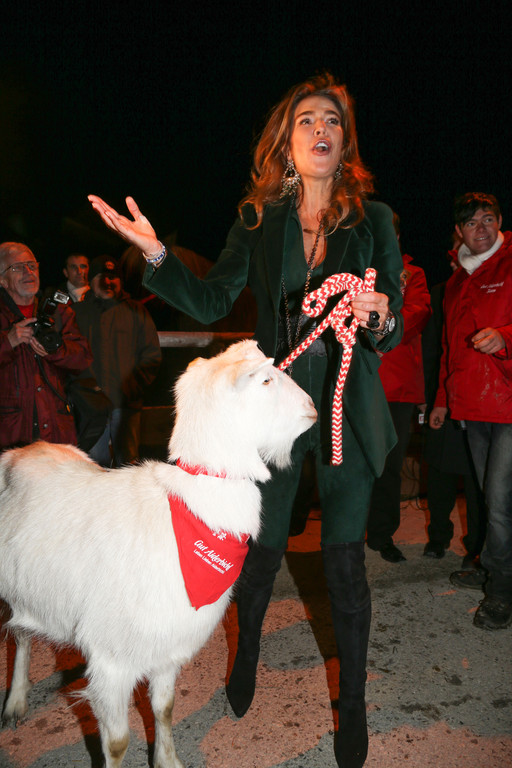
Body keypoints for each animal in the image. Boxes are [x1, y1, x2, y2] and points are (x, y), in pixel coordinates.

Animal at [0, 339, 317, 768]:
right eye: (266, 379)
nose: (313, 406)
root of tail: (22, 450)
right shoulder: (112, 660)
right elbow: (117, 743)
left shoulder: (167, 647)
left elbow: (163, 708)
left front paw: (168, 760)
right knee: (19, 635)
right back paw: (15, 702)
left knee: (22, 631)